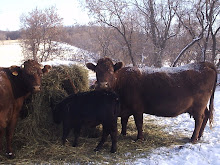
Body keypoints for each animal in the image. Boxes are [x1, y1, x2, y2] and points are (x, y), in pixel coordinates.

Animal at [87, 57, 217, 142]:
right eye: (97, 71)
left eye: (110, 71)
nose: (102, 85)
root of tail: (204, 64)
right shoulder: (125, 108)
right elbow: (124, 121)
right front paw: (123, 133)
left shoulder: (137, 108)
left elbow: (139, 123)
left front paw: (139, 138)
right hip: (201, 106)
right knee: (206, 115)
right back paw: (199, 136)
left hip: (199, 106)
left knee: (199, 119)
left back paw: (193, 138)